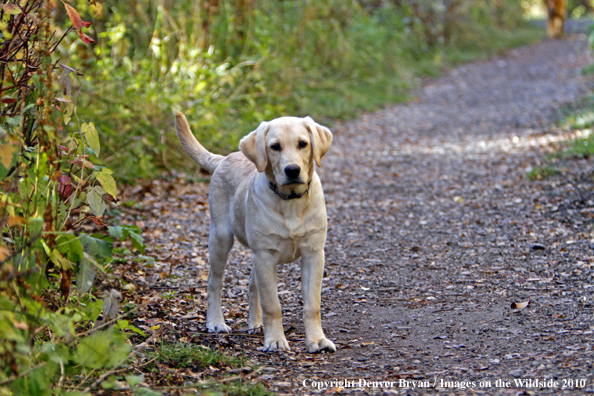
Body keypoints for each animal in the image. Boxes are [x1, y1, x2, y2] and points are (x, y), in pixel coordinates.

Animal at [173, 109, 336, 352]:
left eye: (303, 144)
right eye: (275, 146)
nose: (292, 170)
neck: (290, 202)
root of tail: (224, 158)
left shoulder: (314, 254)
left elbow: (312, 305)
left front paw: (317, 340)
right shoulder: (265, 256)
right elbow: (272, 305)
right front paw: (276, 340)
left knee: (252, 286)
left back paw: (256, 324)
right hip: (221, 238)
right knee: (214, 282)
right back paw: (216, 322)